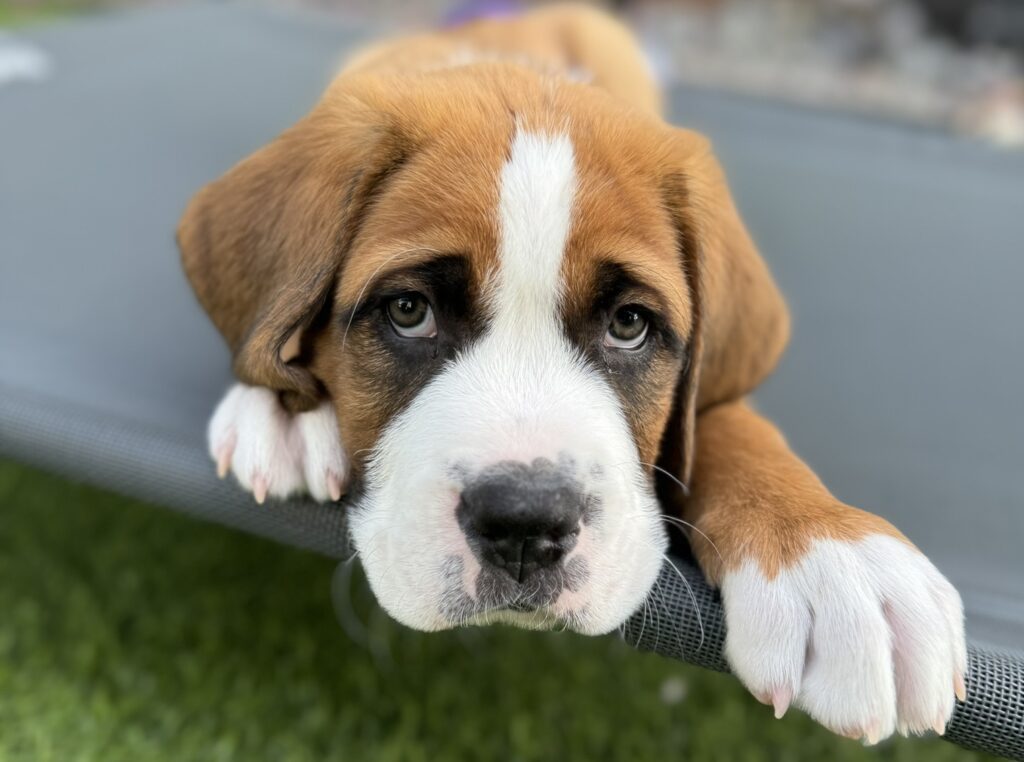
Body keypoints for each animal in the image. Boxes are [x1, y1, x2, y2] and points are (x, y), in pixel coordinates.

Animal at [178, 2, 966, 745]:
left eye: (629, 324)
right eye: (408, 311)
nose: (525, 525)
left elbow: (726, 417)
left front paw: (836, 559)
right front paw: (284, 406)